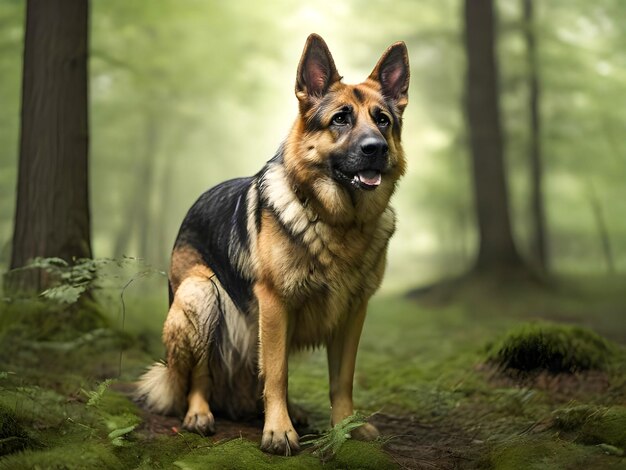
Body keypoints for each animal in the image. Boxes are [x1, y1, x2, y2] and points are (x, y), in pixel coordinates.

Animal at [135, 34, 410, 456]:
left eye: (382, 120)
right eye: (341, 119)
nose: (375, 148)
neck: (338, 222)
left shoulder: (353, 312)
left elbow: (341, 379)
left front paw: (346, 427)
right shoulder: (276, 303)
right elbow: (277, 372)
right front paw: (278, 432)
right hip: (201, 295)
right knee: (201, 374)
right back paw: (200, 413)